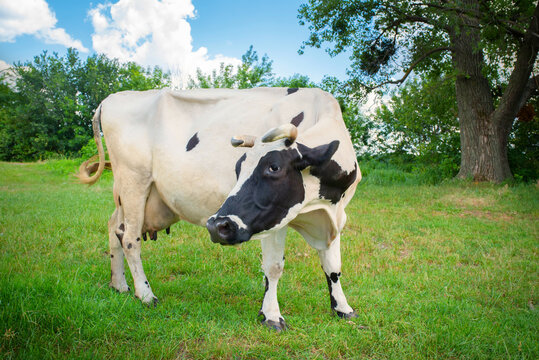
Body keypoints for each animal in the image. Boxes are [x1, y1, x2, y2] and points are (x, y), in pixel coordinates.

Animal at [77, 86, 362, 330]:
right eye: (237, 168)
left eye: (274, 167)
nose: (216, 226)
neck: (322, 209)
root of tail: (111, 98)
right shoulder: (273, 222)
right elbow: (273, 267)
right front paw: (271, 315)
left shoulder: (337, 216)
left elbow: (333, 266)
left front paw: (343, 308)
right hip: (134, 181)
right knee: (129, 239)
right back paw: (145, 294)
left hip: (124, 194)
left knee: (115, 228)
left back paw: (119, 285)